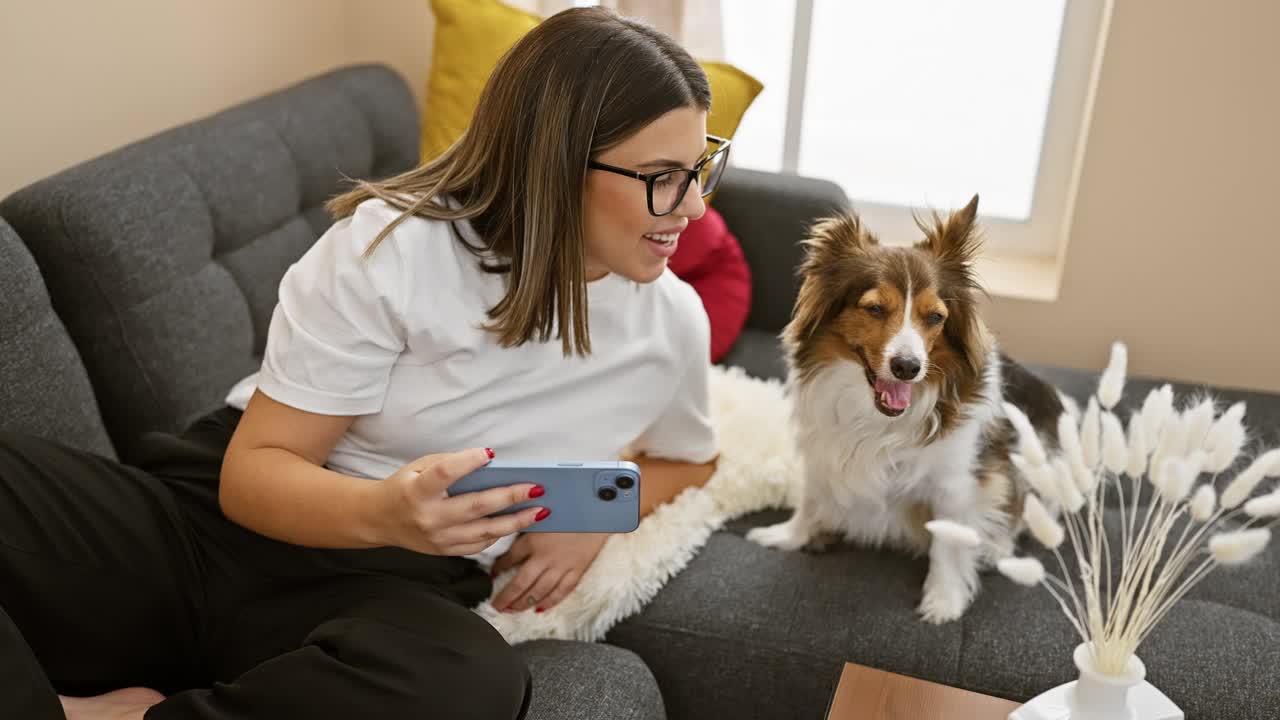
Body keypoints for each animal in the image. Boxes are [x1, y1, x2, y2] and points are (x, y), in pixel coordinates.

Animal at [747, 196, 1064, 622]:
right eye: (875, 309)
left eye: (935, 317)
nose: (908, 367)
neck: (875, 416)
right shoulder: (822, 450)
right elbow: (812, 499)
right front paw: (788, 535)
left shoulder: (954, 482)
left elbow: (947, 543)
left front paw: (943, 600)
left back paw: (996, 547)